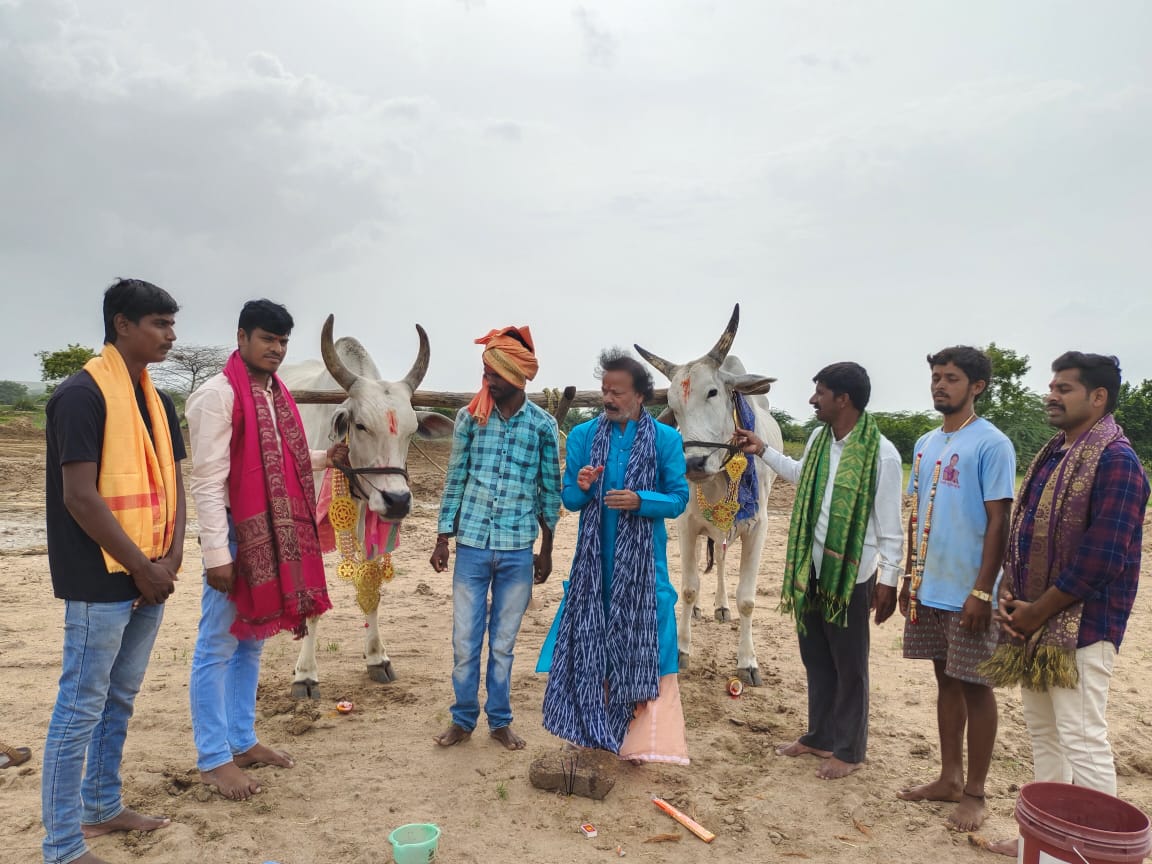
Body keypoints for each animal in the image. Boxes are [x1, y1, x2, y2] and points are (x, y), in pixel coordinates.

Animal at [278, 315, 453, 700]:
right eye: (360, 425)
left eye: (412, 430)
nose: (398, 500)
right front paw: (305, 674)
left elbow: (372, 588)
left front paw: (376, 658)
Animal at [631, 304, 783, 691]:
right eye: (672, 404)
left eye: (713, 392)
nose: (693, 462)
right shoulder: (686, 524)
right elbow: (687, 588)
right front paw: (683, 650)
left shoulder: (757, 527)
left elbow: (748, 600)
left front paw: (747, 661)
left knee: (724, 562)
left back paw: (721, 605)